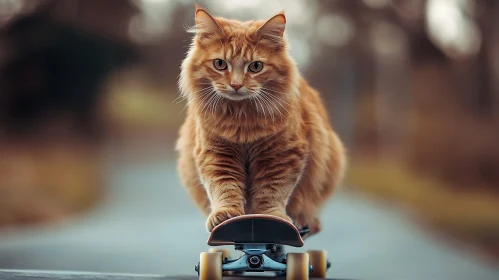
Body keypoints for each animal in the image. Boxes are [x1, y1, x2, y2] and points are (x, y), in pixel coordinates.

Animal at [177, 5, 348, 235]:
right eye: (220, 64)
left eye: (255, 66)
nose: (236, 85)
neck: (241, 120)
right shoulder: (216, 153)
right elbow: (224, 188)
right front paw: (225, 214)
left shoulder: (281, 155)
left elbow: (272, 191)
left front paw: (271, 217)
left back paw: (304, 220)